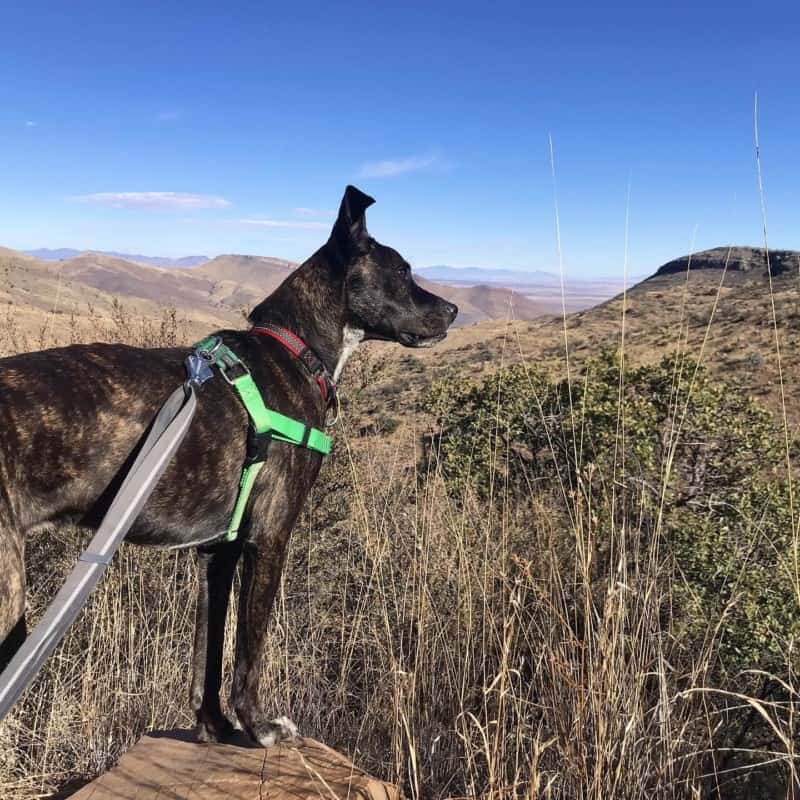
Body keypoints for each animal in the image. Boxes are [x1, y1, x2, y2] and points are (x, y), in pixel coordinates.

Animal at [0, 184, 456, 748]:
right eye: (401, 271)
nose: (453, 310)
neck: (295, 350)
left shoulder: (218, 552)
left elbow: (207, 653)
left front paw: (213, 726)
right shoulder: (270, 536)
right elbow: (249, 648)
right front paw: (259, 726)